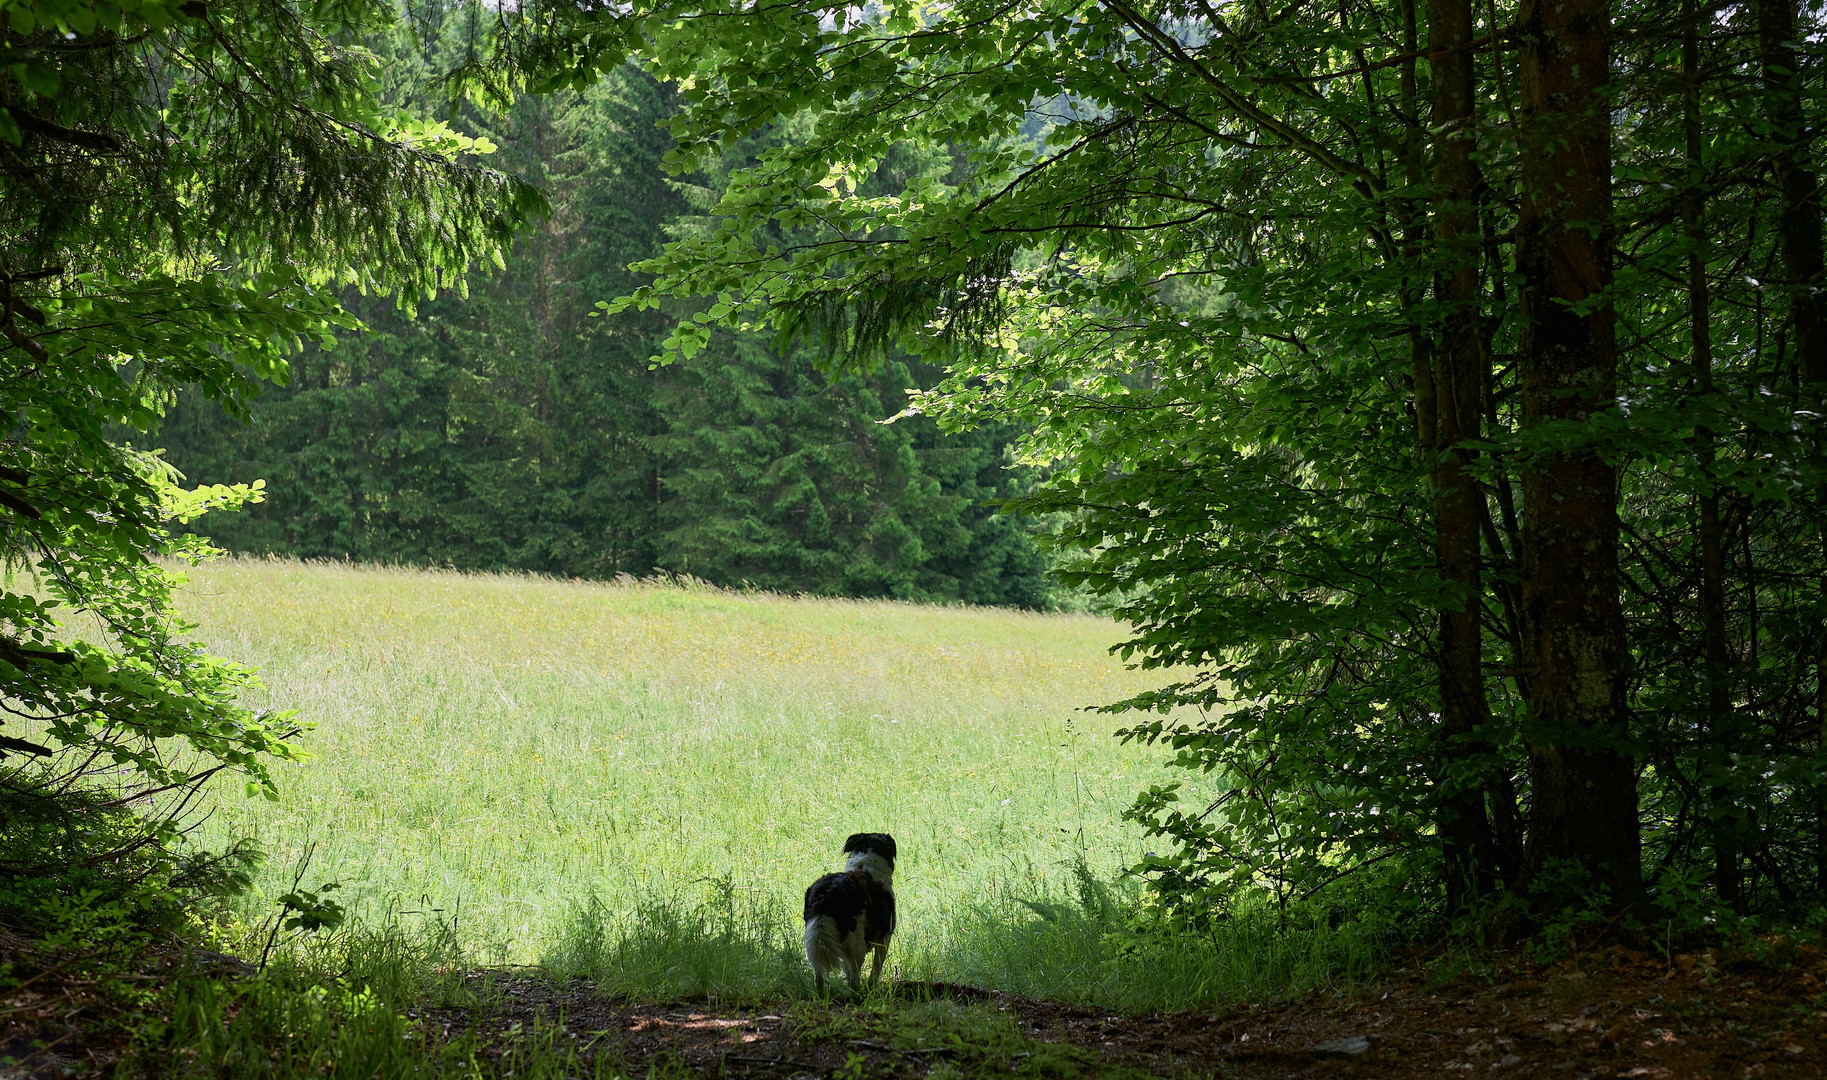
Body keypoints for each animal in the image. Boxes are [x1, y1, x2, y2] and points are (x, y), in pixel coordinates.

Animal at [803, 836, 895, 994]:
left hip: (814, 941)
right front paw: (872, 987)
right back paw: (857, 993)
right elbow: (876, 966)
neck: (863, 867)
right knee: (855, 975)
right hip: (856, 942)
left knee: (818, 972)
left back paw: (821, 993)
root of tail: (825, 893)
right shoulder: (885, 936)